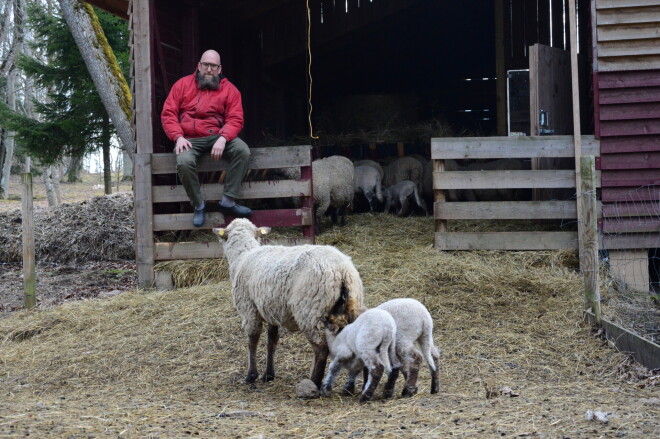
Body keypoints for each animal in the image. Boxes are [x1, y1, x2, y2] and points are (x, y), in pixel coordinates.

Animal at [214, 219, 364, 388]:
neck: (242, 256)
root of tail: (342, 270)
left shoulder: (249, 309)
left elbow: (252, 341)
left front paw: (251, 375)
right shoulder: (271, 310)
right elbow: (272, 341)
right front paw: (269, 374)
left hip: (311, 311)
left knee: (321, 349)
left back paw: (314, 383)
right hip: (352, 307)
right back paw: (352, 387)